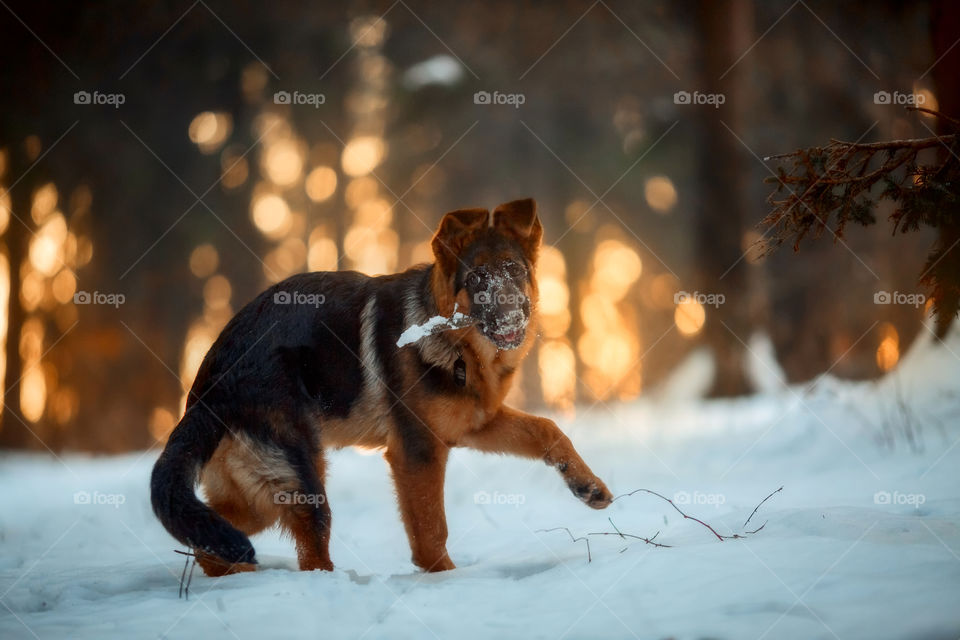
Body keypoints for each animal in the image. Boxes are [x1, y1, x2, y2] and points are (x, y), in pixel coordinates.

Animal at [153, 199, 612, 576]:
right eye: (477, 277)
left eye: (514, 270)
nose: (512, 318)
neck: (459, 346)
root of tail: (208, 388)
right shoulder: (417, 452)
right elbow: (430, 532)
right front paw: (445, 580)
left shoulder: (475, 424)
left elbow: (546, 429)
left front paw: (586, 483)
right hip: (303, 482)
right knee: (310, 555)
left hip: (258, 495)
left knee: (212, 541)